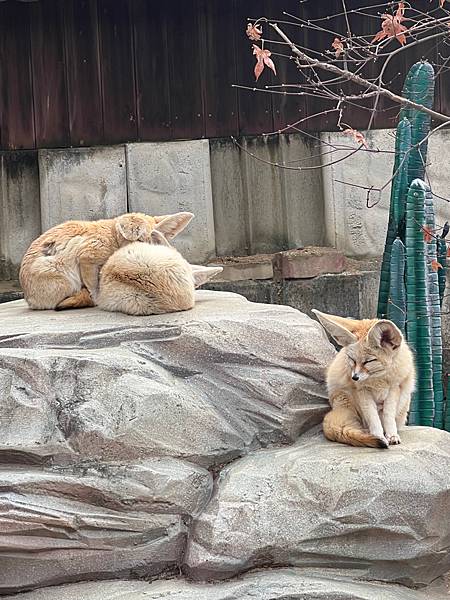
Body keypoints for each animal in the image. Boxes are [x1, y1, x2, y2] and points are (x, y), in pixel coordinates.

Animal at [19, 211, 192, 312]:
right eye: (140, 240)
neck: (112, 236)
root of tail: (29, 300)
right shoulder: (87, 256)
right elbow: (94, 287)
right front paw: (99, 297)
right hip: (64, 276)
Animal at [312, 312, 414, 448]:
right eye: (352, 359)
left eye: (368, 361)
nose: (354, 377)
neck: (377, 379)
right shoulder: (363, 392)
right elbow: (372, 418)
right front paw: (378, 436)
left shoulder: (394, 389)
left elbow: (388, 416)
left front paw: (392, 435)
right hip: (346, 398)